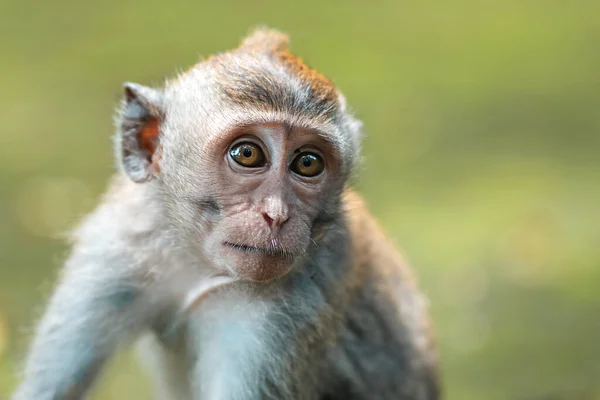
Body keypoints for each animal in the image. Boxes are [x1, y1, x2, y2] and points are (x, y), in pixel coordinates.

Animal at [10, 28, 440, 400]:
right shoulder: (116, 247)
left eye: (308, 163)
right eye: (247, 154)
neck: (195, 260)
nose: (276, 215)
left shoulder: (281, 318)